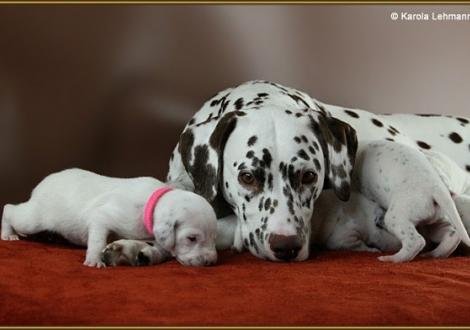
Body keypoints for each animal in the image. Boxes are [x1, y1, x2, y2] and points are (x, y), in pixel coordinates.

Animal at [0, 169, 218, 266]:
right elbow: (97, 239)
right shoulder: (104, 216)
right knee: (11, 209)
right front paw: (94, 260)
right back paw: (8, 233)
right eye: (192, 238)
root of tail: (40, 185)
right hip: (34, 218)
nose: (212, 261)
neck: (154, 202)